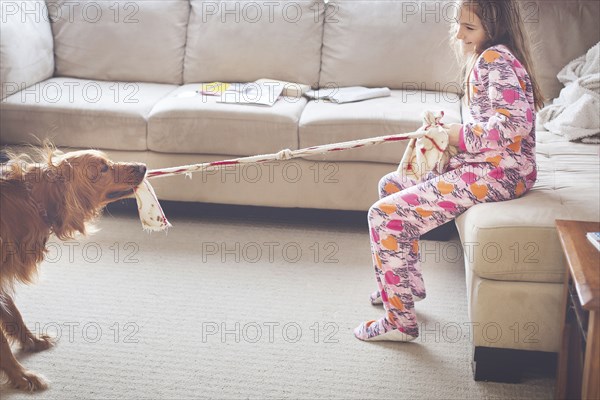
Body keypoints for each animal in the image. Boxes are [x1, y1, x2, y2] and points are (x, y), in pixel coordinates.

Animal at [0, 147, 145, 390]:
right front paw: (22, 376)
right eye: (103, 168)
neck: (30, 200)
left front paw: (32, 342)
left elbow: (14, 314)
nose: (144, 166)